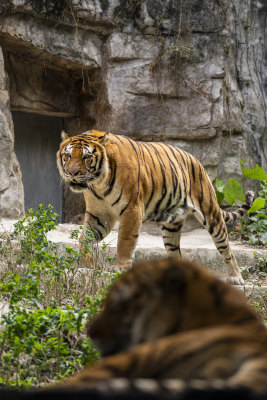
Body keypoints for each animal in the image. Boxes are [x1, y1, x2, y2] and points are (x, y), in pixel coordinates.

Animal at [57, 129, 255, 284]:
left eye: (86, 157)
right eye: (68, 156)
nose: (72, 173)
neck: (97, 183)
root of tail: (197, 161)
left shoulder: (132, 209)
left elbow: (125, 240)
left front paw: (120, 267)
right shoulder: (99, 214)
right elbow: (84, 240)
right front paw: (92, 264)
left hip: (211, 213)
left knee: (226, 247)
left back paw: (236, 278)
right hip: (171, 226)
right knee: (176, 252)